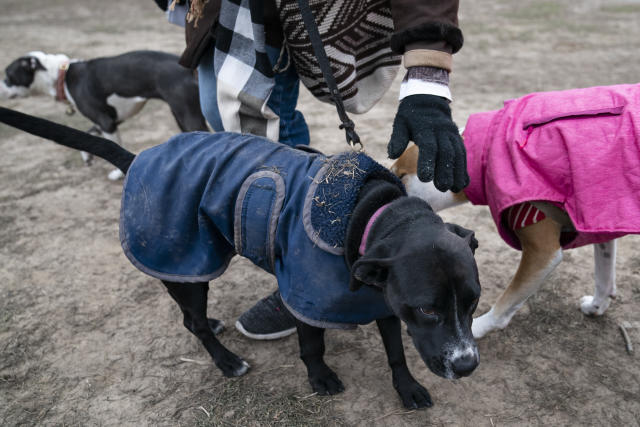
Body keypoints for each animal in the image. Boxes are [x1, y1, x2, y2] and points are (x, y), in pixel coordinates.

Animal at [0, 108, 480, 412]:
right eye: (428, 310)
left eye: (474, 302)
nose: (467, 365)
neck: (369, 212)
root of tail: (139, 159)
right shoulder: (305, 299)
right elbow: (313, 345)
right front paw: (320, 378)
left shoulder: (383, 300)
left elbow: (397, 351)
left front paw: (408, 389)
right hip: (188, 261)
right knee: (192, 320)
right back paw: (226, 360)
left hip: (185, 269)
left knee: (188, 316)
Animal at [1, 50, 206, 181]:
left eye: (8, 77)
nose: (0, 85)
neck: (61, 76)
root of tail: (190, 70)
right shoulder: (108, 120)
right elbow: (89, 133)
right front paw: (87, 157)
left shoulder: (107, 123)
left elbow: (113, 144)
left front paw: (118, 174)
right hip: (180, 116)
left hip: (188, 116)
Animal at [392, 145, 616, 340]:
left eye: (402, 176)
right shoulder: (603, 226)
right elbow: (603, 275)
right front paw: (597, 305)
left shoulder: (542, 251)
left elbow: (508, 300)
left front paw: (478, 327)